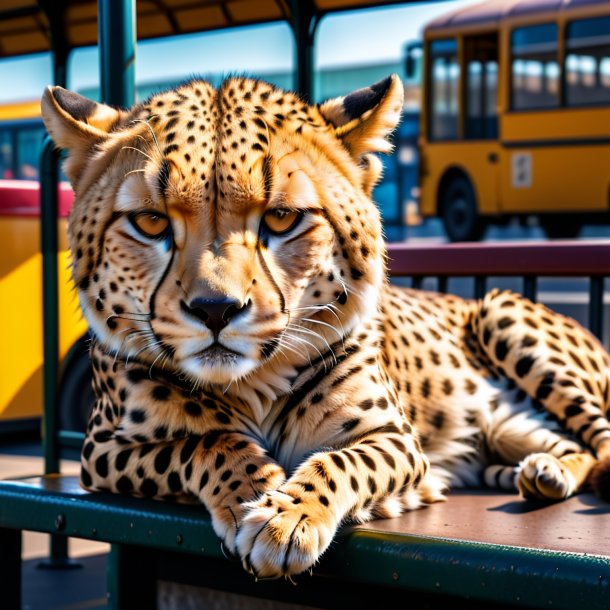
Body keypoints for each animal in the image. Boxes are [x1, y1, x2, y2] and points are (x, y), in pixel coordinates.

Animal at [41, 75, 608, 576]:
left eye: (282, 218)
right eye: (152, 222)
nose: (216, 310)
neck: (253, 382)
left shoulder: (398, 439)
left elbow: (339, 462)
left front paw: (287, 516)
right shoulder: (102, 450)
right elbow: (202, 443)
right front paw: (254, 489)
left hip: (498, 310)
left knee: (600, 441)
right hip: (509, 425)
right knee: (569, 444)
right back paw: (542, 471)